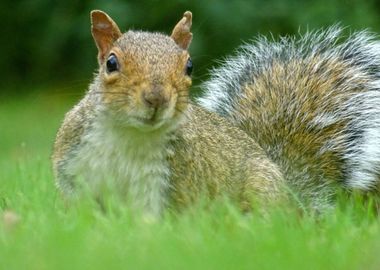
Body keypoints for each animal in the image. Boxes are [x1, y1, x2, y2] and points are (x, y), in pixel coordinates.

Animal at [52, 10, 284, 216]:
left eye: (189, 66)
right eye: (111, 63)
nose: (156, 98)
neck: (130, 132)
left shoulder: (164, 184)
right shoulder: (73, 165)